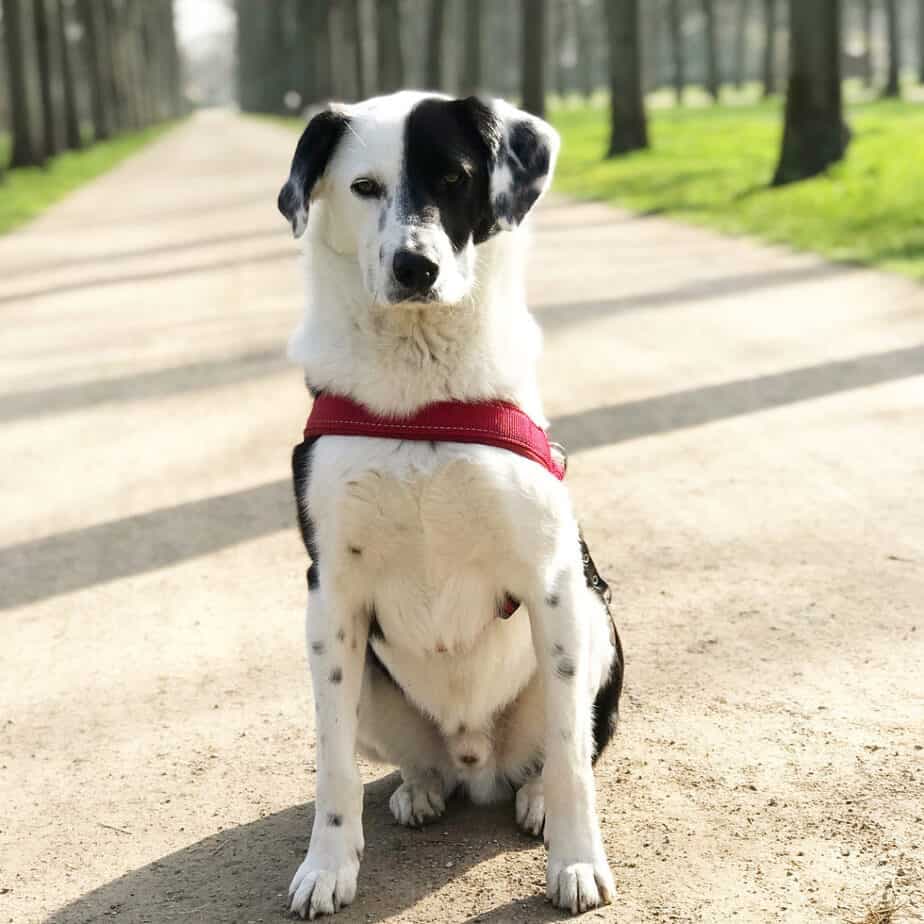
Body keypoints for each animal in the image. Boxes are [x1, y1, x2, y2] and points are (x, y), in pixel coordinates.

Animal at [278, 92, 624, 916]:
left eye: (456, 178)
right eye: (364, 187)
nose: (416, 266)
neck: (420, 399)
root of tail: (477, 762)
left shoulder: (554, 581)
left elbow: (571, 755)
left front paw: (576, 861)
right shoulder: (331, 596)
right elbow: (331, 766)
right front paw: (327, 867)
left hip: (597, 622)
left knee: (562, 746)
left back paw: (533, 800)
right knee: (404, 759)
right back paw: (422, 789)